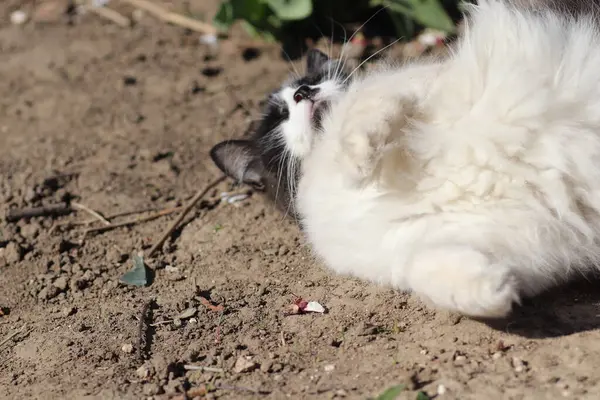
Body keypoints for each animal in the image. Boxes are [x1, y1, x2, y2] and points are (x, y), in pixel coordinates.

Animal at [296, 0, 600, 318]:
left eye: (308, 84)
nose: (303, 92)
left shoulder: (409, 90)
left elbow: (365, 117)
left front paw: (360, 162)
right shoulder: (420, 245)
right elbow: (430, 270)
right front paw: (496, 291)